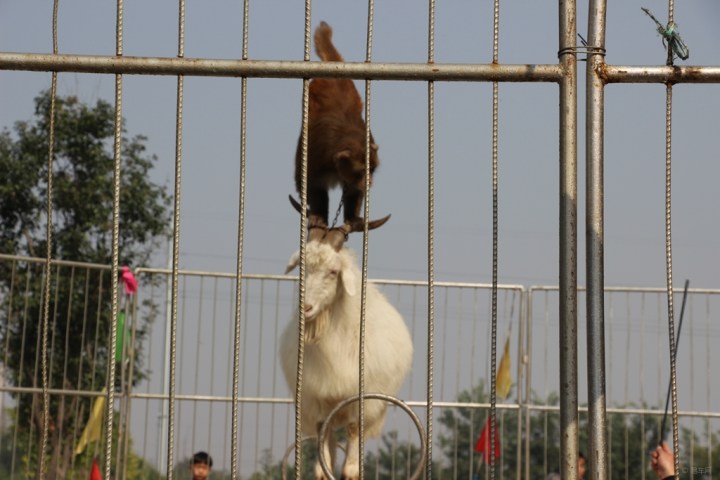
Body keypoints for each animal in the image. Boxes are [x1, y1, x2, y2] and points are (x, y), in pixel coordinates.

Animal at [282, 242, 416, 478]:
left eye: (333, 272)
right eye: (302, 269)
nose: (306, 308)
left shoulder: (360, 400)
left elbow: (354, 432)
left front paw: (351, 472)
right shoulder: (317, 398)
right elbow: (322, 435)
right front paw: (322, 470)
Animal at [294, 20, 382, 225]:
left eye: (372, 170)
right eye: (361, 171)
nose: (369, 181)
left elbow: (354, 190)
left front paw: (352, 217)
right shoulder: (319, 154)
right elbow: (312, 181)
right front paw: (318, 215)